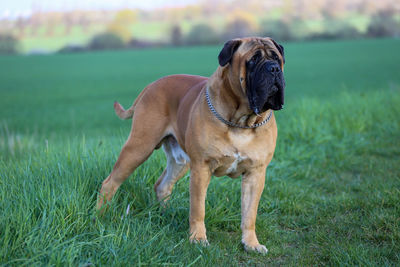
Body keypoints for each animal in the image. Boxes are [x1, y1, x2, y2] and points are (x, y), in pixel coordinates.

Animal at [96, 36, 284, 254]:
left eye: (277, 58)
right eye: (252, 60)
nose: (273, 69)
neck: (242, 122)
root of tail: (151, 85)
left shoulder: (256, 173)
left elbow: (249, 213)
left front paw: (251, 243)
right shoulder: (201, 168)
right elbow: (198, 208)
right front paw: (198, 239)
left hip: (180, 161)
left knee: (162, 185)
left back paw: (165, 214)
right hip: (139, 148)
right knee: (109, 183)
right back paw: (100, 216)